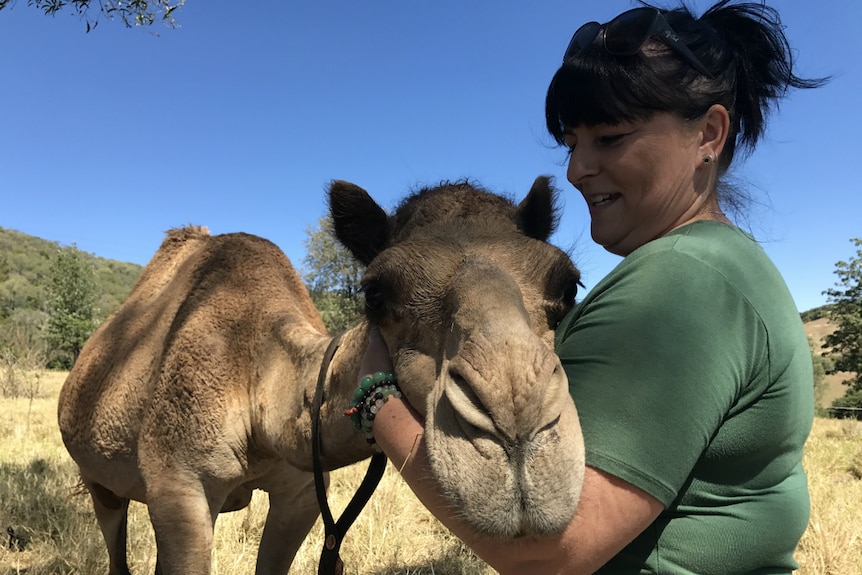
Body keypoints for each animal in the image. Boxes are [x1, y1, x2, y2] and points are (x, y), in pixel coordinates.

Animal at [57, 177, 588, 575]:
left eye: (568, 286)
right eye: (375, 292)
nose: (516, 423)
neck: (260, 389)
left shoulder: (300, 494)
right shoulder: (179, 486)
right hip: (100, 481)